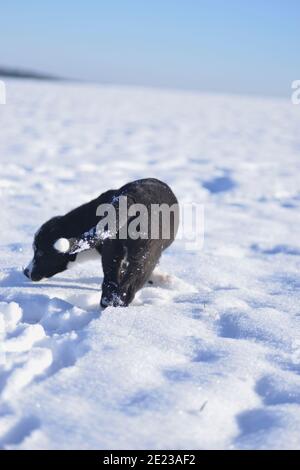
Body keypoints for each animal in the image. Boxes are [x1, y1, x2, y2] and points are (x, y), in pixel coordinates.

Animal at [24, 178, 178, 306]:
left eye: (41, 253)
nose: (25, 272)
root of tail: (128, 200)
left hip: (112, 250)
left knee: (109, 288)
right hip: (144, 254)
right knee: (126, 289)